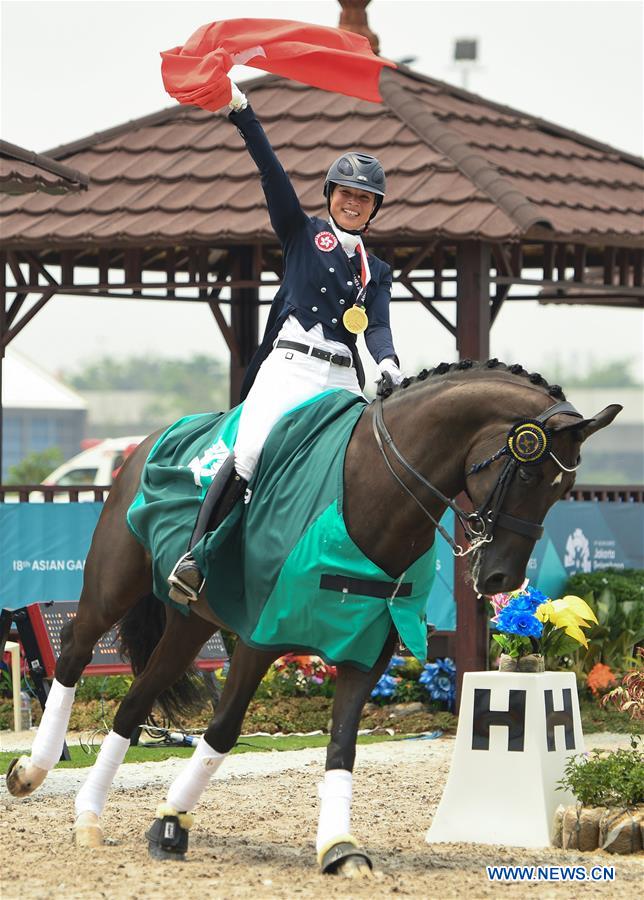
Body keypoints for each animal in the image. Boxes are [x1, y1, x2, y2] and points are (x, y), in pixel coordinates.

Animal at [6, 362, 620, 876]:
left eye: (565, 489)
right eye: (528, 476)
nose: (499, 580)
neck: (374, 495)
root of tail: (148, 442)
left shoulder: (368, 650)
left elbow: (342, 745)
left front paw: (339, 848)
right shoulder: (260, 637)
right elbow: (223, 731)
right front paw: (172, 822)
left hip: (192, 623)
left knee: (134, 703)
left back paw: (88, 813)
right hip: (112, 585)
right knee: (74, 653)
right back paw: (33, 770)